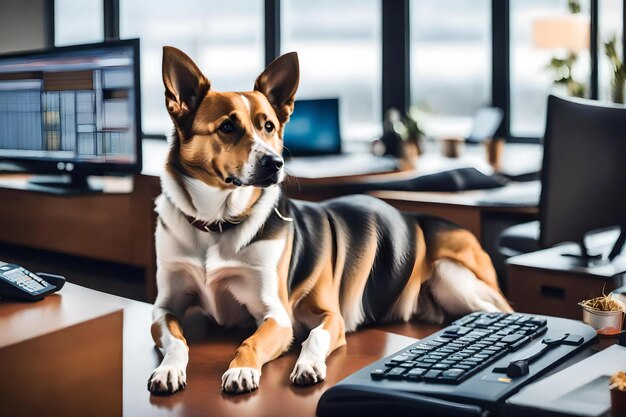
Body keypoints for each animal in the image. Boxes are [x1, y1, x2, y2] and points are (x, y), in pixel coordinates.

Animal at [147, 45, 512, 394]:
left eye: (269, 127)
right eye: (227, 127)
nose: (275, 163)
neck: (217, 223)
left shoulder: (286, 316)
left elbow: (281, 339)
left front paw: (252, 368)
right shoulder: (164, 308)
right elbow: (176, 341)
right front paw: (168, 369)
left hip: (451, 275)